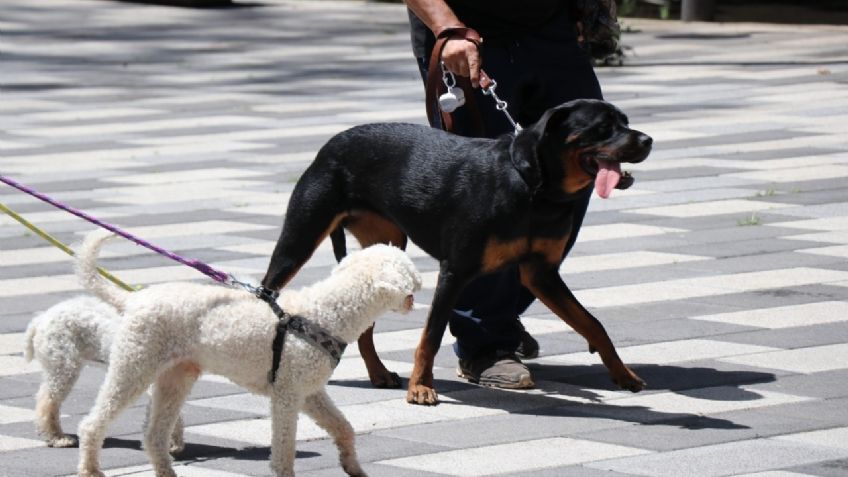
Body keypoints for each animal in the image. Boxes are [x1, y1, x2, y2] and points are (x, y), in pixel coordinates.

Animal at [75, 229, 420, 474]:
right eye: (410, 273)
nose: (417, 295)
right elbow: (284, 449)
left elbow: (343, 427)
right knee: (94, 423)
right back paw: (90, 469)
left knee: (154, 435)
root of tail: (132, 299)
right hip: (134, 365)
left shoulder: (309, 392)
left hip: (175, 377)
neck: (326, 312)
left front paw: (353, 466)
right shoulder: (287, 395)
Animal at [262, 98, 652, 404]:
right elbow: (431, 334)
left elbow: (592, 323)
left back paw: (378, 372)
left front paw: (623, 374)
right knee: (267, 292)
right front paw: (420, 388)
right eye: (602, 128)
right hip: (299, 239)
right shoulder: (455, 270)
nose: (649, 140)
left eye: (625, 121)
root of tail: (330, 143)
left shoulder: (541, 274)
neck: (533, 188)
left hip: (386, 249)